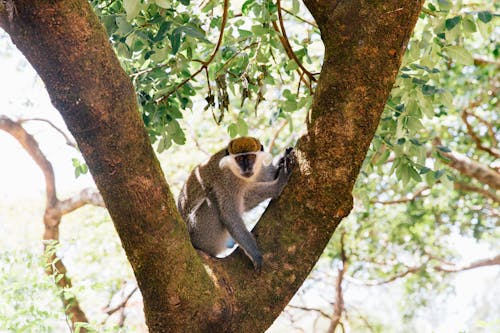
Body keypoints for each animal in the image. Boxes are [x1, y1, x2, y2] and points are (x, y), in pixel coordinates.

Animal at [177, 136, 292, 268]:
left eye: (251, 158)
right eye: (240, 159)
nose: (246, 168)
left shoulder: (259, 171)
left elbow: (248, 197)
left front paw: (281, 162)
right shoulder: (227, 180)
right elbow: (230, 214)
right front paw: (279, 183)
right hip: (200, 234)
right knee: (213, 200)